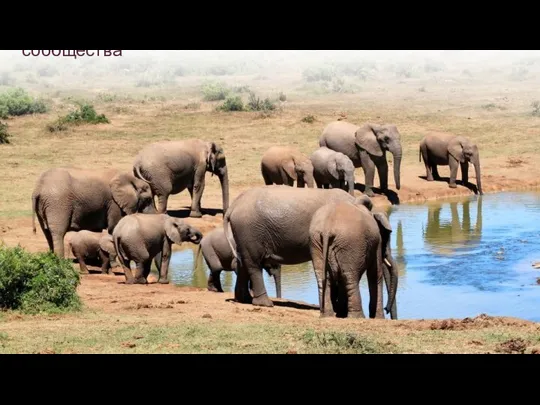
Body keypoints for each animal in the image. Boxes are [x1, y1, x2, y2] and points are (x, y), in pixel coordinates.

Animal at [221, 185, 394, 318]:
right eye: (386, 235)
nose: (387, 309)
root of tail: (233, 207)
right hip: (249, 230)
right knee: (253, 264)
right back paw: (265, 304)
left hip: (243, 233)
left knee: (243, 261)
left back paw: (243, 299)